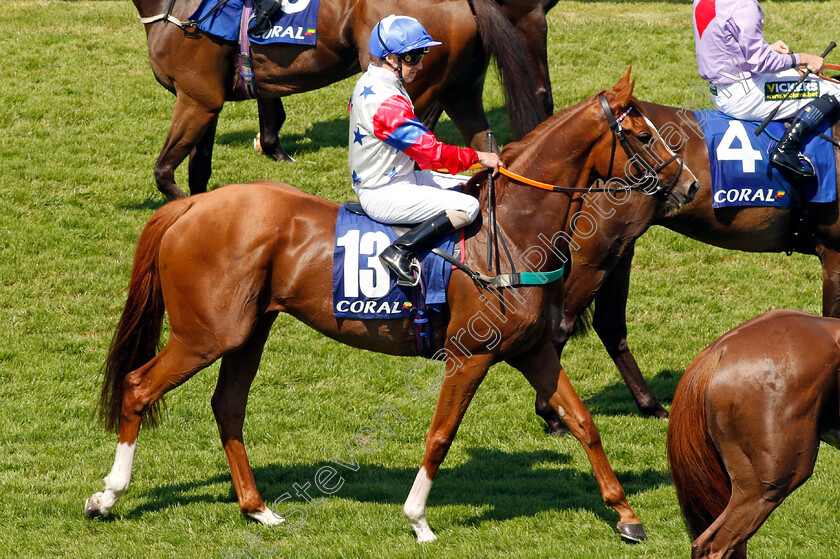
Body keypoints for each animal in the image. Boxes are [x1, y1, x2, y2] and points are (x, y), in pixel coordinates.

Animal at [82, 74, 700, 544]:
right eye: (641, 133)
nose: (691, 184)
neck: (512, 229)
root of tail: (193, 205)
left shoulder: (531, 351)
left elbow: (584, 424)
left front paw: (626, 515)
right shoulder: (470, 355)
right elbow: (441, 434)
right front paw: (418, 518)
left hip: (247, 333)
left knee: (228, 408)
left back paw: (257, 508)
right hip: (205, 336)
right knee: (138, 387)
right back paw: (107, 496)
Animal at [129, 0, 540, 200]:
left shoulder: (197, 99)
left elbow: (164, 172)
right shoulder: (205, 99)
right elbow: (197, 170)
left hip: (417, 95)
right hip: (461, 90)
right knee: (491, 152)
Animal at [532, 99, 840, 434]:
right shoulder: (834, 252)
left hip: (619, 249)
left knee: (610, 325)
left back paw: (651, 406)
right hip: (596, 252)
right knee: (562, 325)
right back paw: (551, 414)